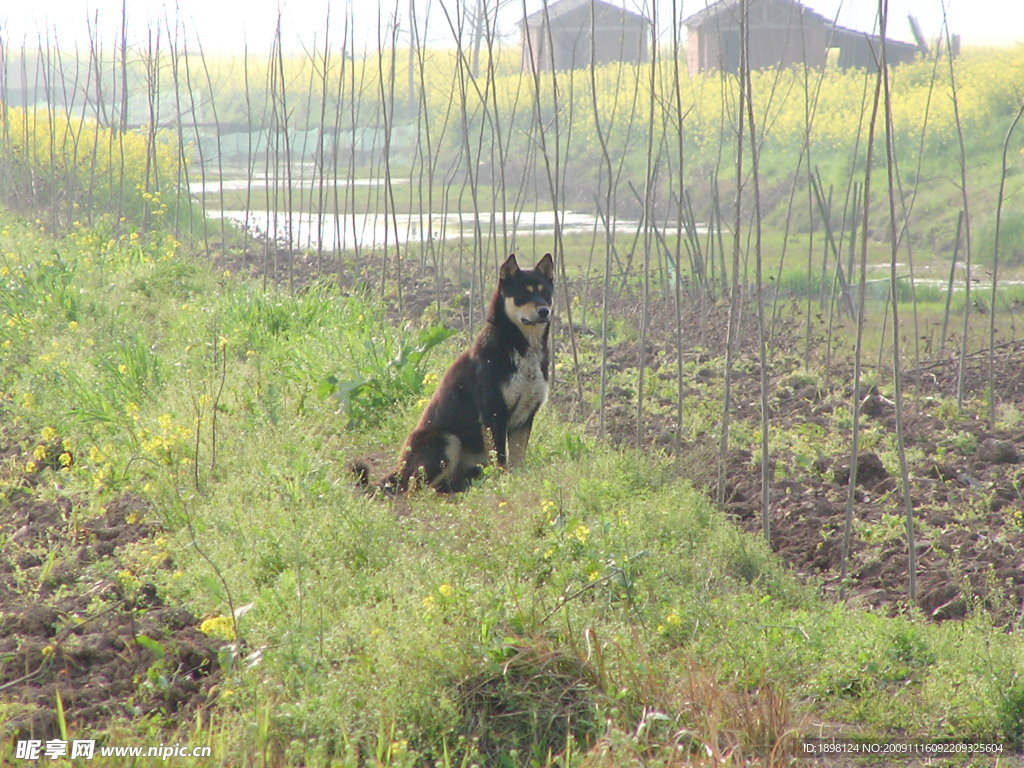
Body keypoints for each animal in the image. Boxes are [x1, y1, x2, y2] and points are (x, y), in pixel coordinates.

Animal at [356, 252, 557, 493]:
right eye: (522, 295)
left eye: (545, 293)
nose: (544, 311)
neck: (521, 348)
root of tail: (398, 468)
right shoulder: (494, 413)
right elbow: (500, 459)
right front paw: (503, 485)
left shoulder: (526, 416)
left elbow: (517, 460)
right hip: (447, 440)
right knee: (415, 486)